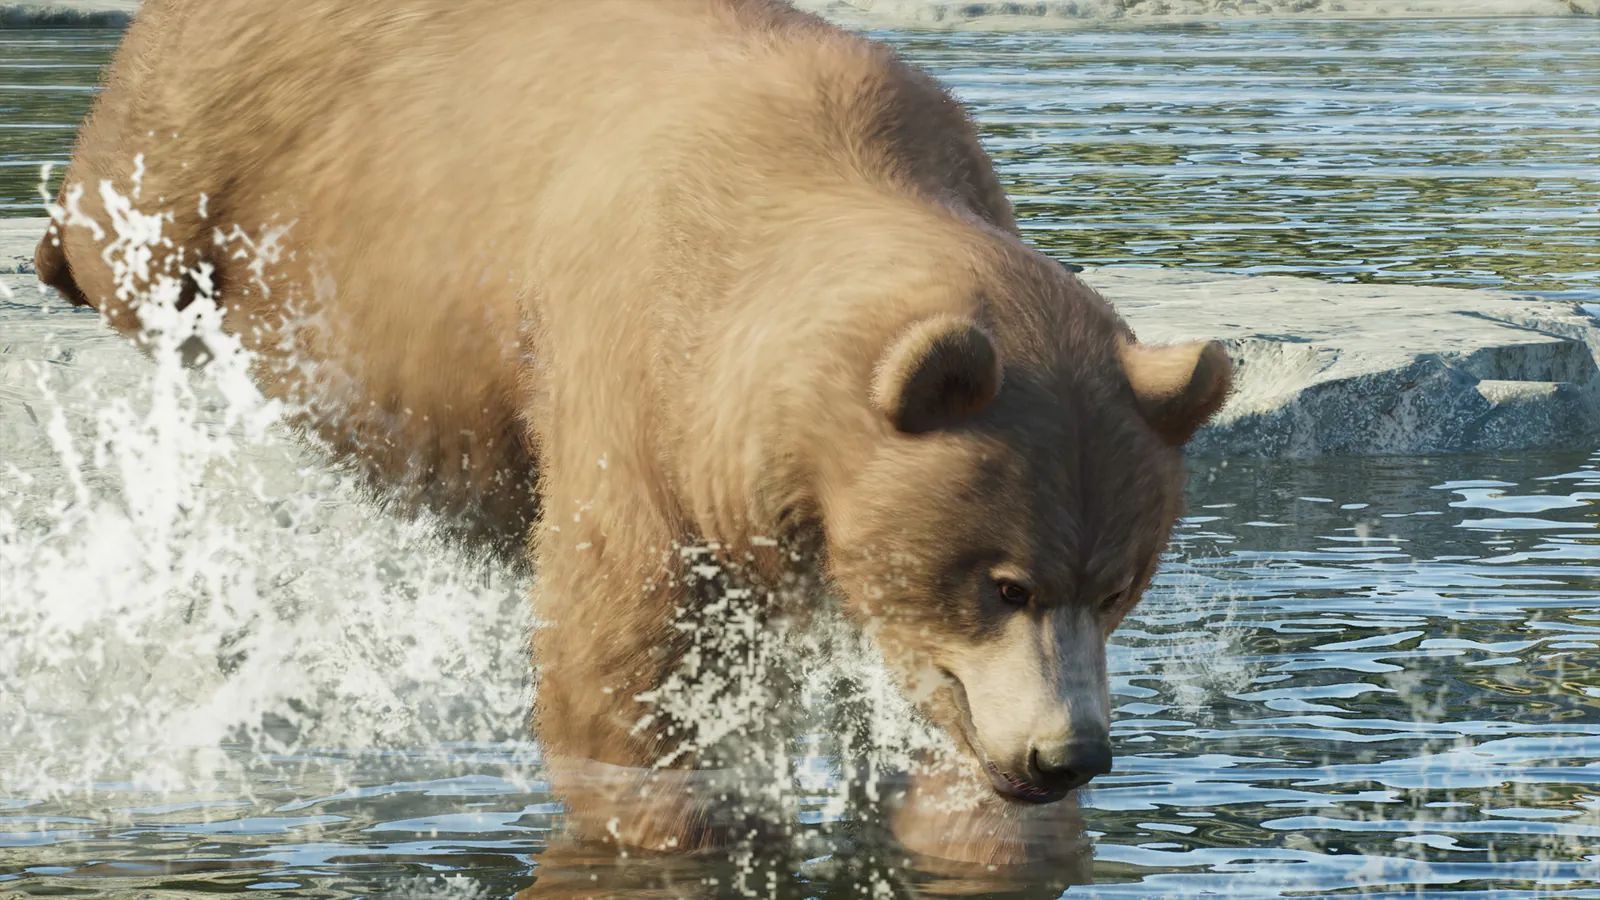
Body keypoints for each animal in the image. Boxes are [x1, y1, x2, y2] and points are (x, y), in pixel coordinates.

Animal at [36, 0, 1231, 866]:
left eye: (1118, 585)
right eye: (1005, 583)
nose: (1069, 753)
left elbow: (934, 726)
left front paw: (985, 821)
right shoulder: (646, 381)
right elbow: (626, 658)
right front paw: (681, 814)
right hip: (215, 136)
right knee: (127, 221)